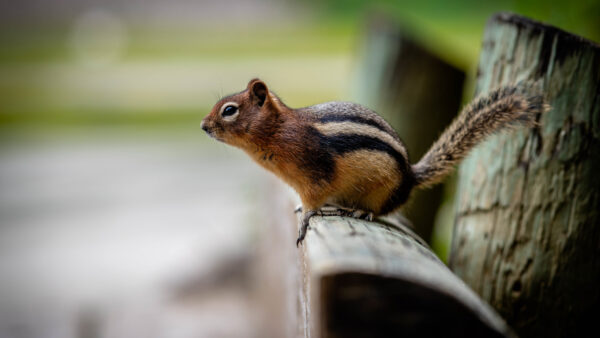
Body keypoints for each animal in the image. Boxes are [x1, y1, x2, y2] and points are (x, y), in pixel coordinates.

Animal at [202, 78, 548, 246]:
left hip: (382, 191)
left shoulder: (314, 174)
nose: (204, 127)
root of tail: (410, 177)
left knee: (377, 211)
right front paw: (301, 209)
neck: (278, 131)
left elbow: (313, 200)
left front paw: (305, 218)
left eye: (229, 110)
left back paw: (359, 211)